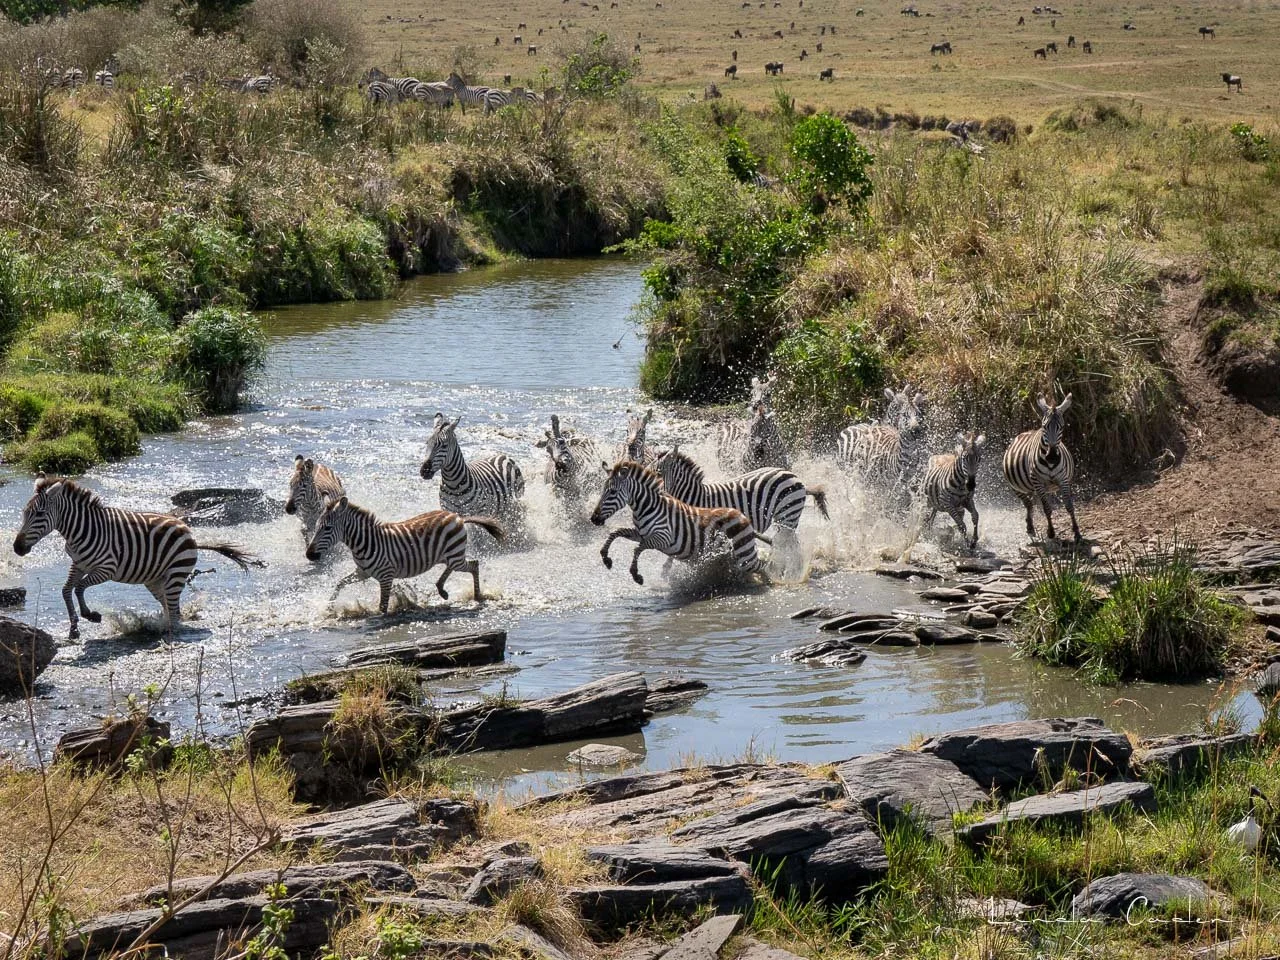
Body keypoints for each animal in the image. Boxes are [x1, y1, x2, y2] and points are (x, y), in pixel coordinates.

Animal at [12, 474, 260, 640]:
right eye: (24, 513)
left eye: (39, 514)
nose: (17, 548)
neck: (81, 530)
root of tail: (188, 530)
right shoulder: (79, 563)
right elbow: (66, 590)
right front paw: (74, 628)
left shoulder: (106, 569)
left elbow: (79, 588)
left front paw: (91, 615)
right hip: (156, 580)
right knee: (170, 609)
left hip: (176, 575)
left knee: (175, 613)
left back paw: (168, 635)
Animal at [305, 496, 503, 613]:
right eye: (316, 527)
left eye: (327, 528)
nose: (309, 555)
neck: (366, 542)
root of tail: (458, 517)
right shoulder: (362, 572)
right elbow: (340, 583)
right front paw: (329, 607)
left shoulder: (386, 576)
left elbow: (383, 606)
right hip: (449, 555)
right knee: (455, 567)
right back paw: (441, 589)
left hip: (455, 554)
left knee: (474, 564)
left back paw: (476, 595)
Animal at [589, 461, 770, 585]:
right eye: (603, 490)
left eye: (612, 492)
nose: (594, 518)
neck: (648, 508)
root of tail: (743, 516)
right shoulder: (640, 533)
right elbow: (616, 532)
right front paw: (606, 558)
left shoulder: (663, 537)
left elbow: (638, 548)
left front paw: (636, 575)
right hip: (736, 557)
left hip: (745, 557)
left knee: (764, 564)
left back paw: (769, 581)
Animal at [1002, 394, 1081, 542]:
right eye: (1044, 427)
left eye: (1061, 427)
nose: (1052, 457)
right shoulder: (1038, 482)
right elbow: (1047, 509)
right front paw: (1051, 532)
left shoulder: (1063, 480)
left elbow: (1069, 506)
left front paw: (1077, 532)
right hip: (1016, 486)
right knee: (1028, 504)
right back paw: (1030, 528)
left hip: (1033, 487)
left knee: (1030, 502)